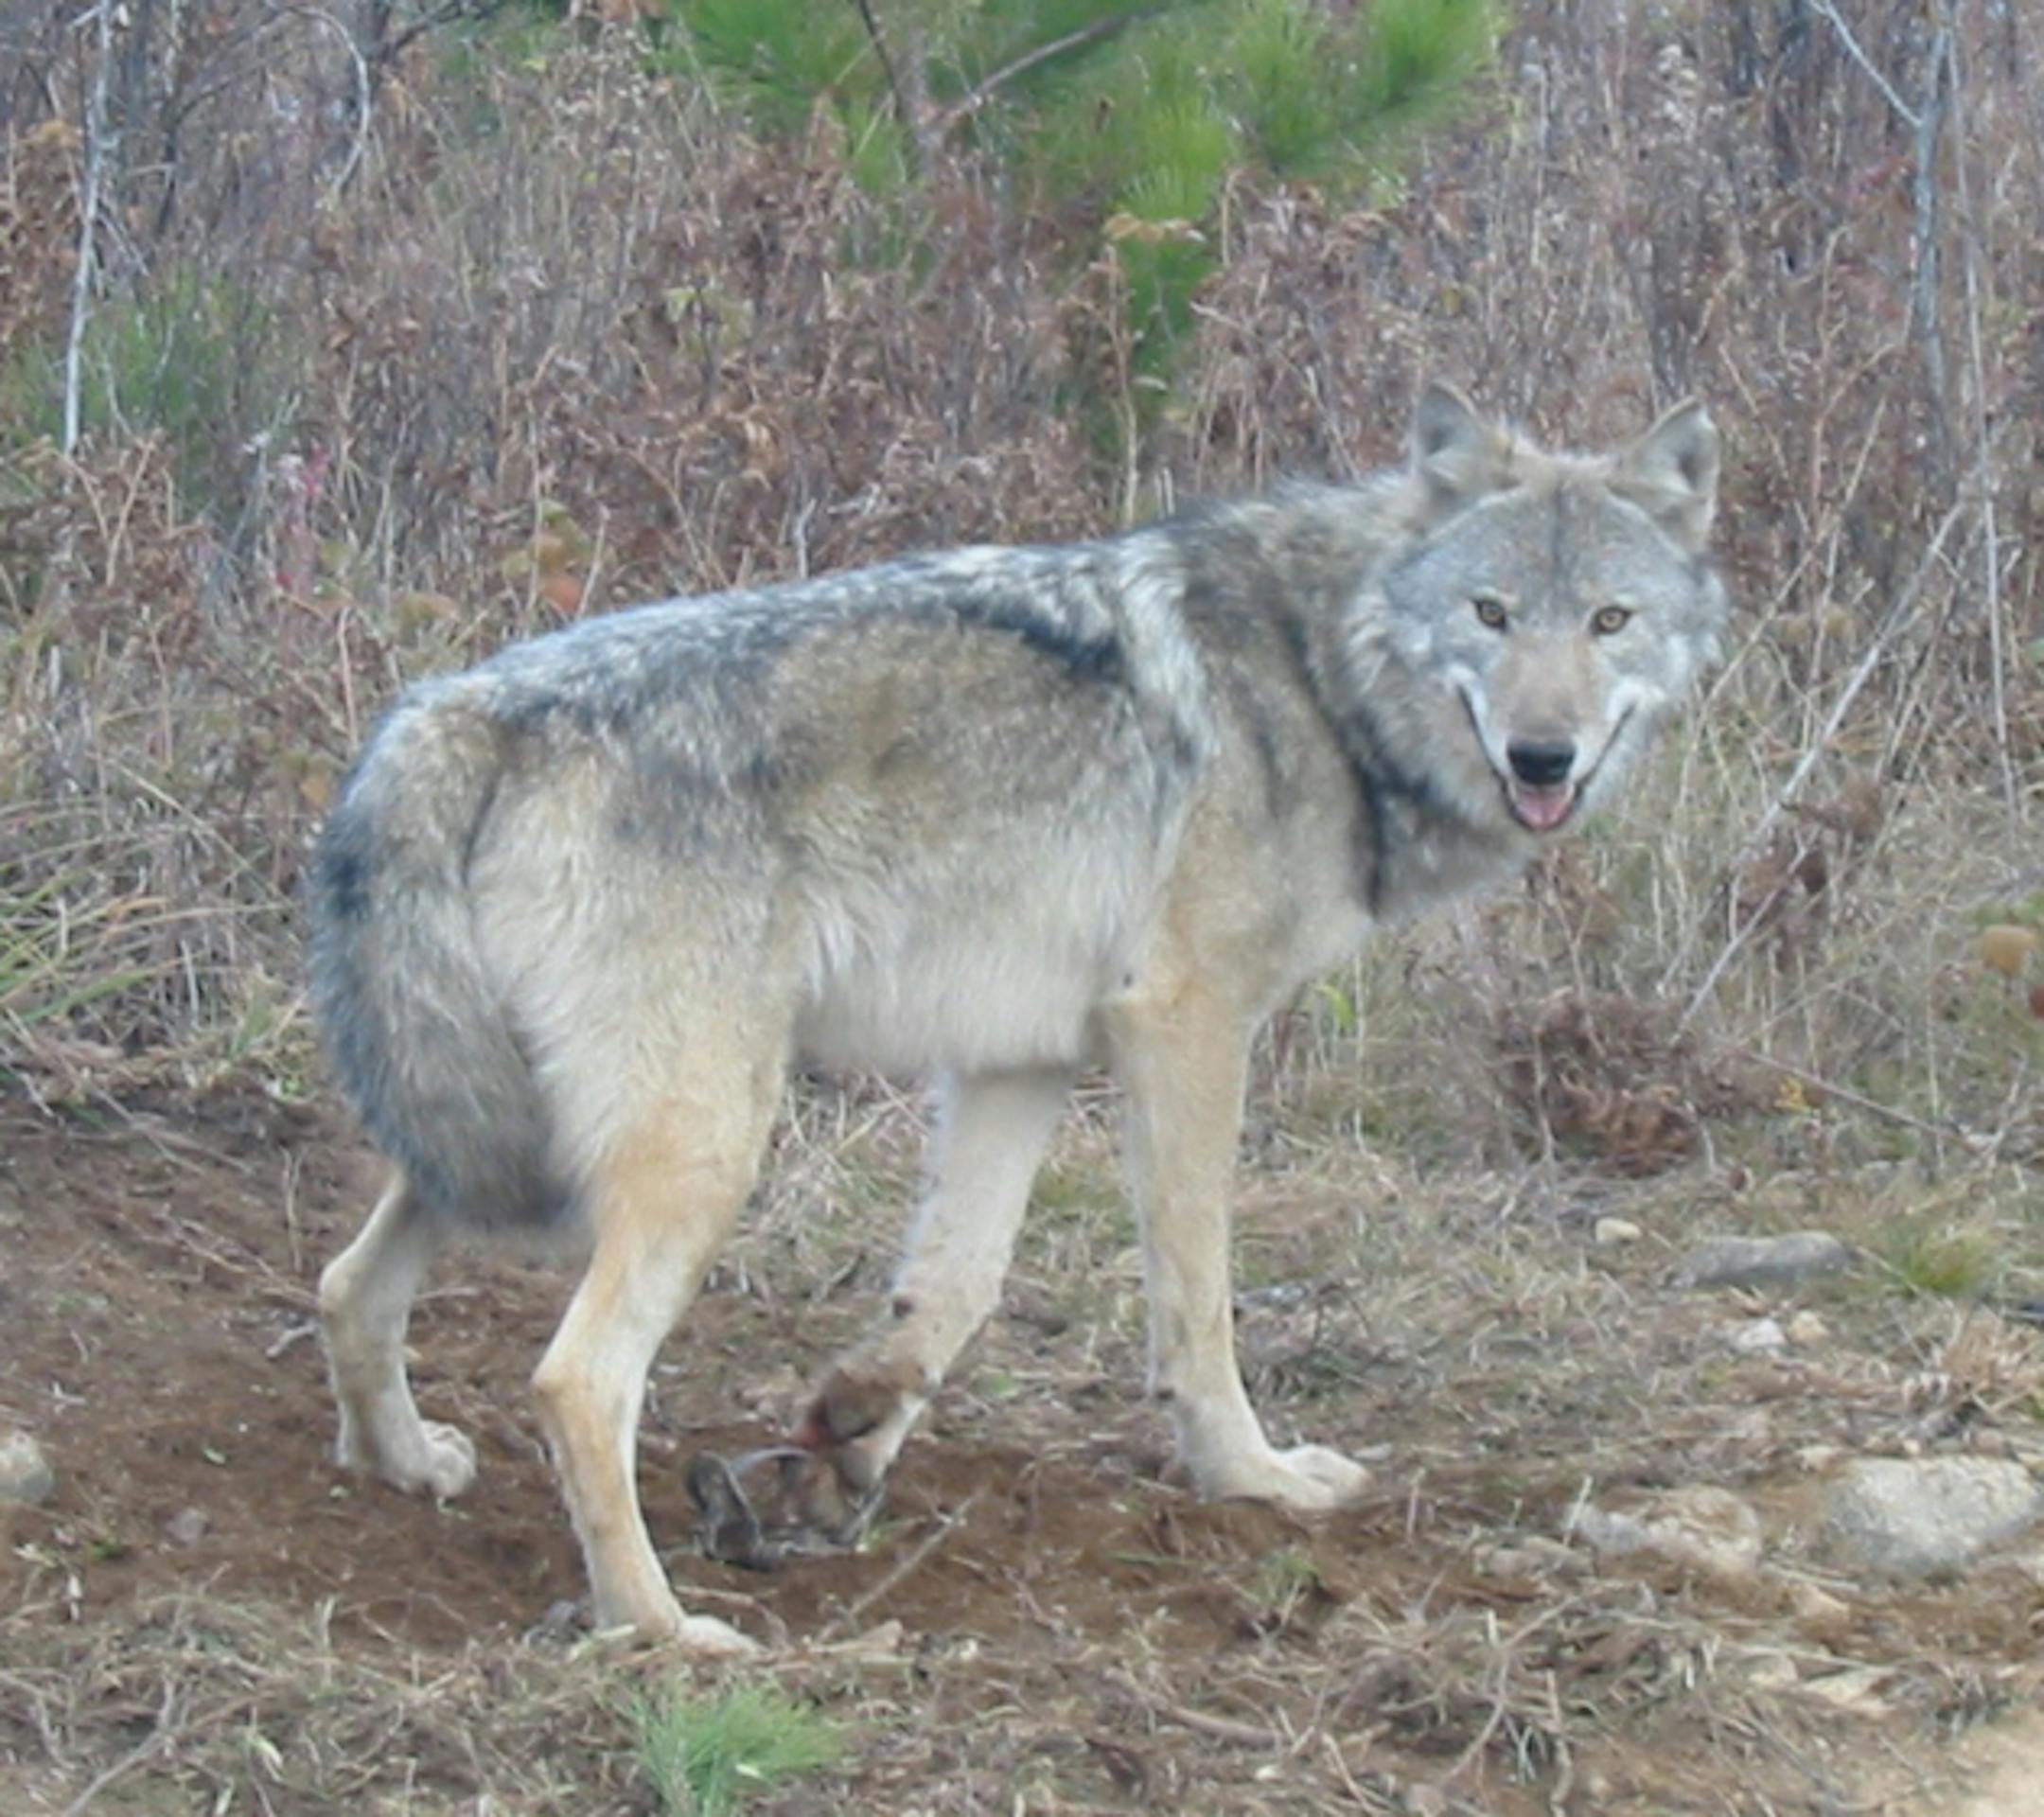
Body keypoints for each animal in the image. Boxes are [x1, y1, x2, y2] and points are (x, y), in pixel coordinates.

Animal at [311, 384, 1727, 1651]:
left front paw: (846, 1441)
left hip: (508, 1137)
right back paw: (657, 1628)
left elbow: (954, 1291)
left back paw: (406, 1464)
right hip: (701, 1145)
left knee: (348, 1283)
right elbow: (1199, 1300)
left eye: (1609, 621)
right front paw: (1251, 1477)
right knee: (576, 1380)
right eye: (1491, 615)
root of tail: (458, 709)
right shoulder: (1186, 1026)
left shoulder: (1021, 1059)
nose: (1544, 756)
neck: (1318, 676)